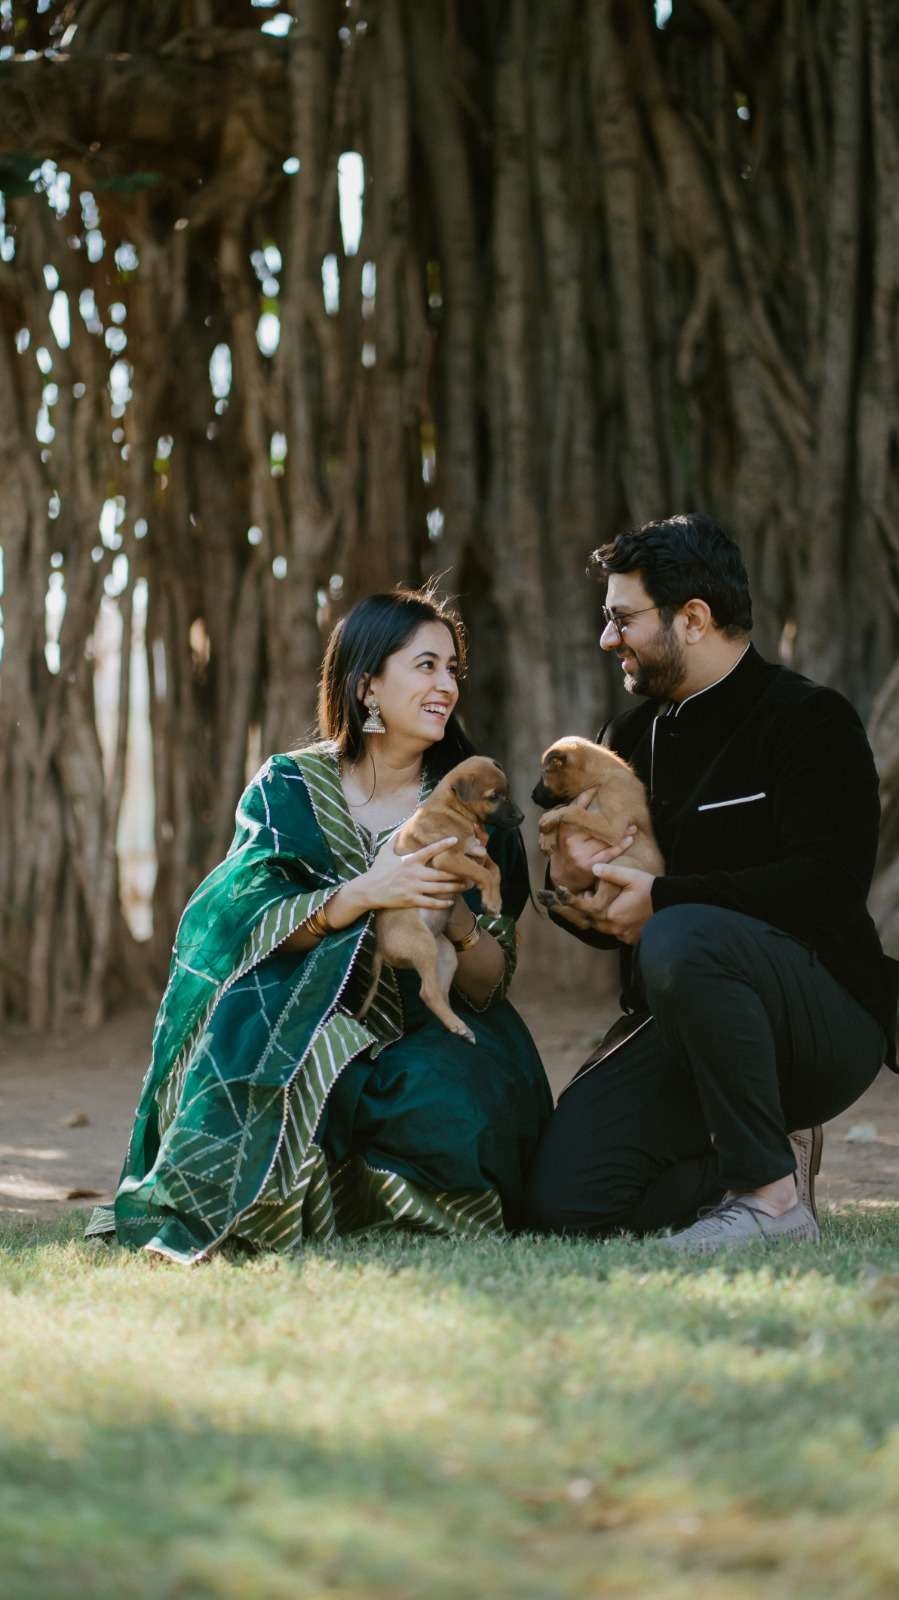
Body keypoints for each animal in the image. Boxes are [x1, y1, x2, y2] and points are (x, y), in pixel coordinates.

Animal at [360, 756, 523, 1042]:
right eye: (494, 797)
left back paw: (458, 1025)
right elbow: (485, 873)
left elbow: (494, 870)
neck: (454, 810)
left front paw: (492, 899)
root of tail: (381, 947)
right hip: (423, 943)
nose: (522, 817)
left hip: (446, 955)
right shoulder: (448, 857)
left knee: (438, 994)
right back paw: (457, 1024)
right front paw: (492, 903)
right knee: (428, 993)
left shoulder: (477, 853)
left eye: (507, 792)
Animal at [531, 736, 663, 929]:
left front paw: (548, 819)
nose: (532, 796)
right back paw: (553, 900)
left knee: (597, 907)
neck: (601, 777)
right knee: (586, 919)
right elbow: (566, 807)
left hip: (620, 862)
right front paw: (546, 837)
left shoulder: (612, 827)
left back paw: (566, 898)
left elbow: (573, 811)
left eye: (544, 774)